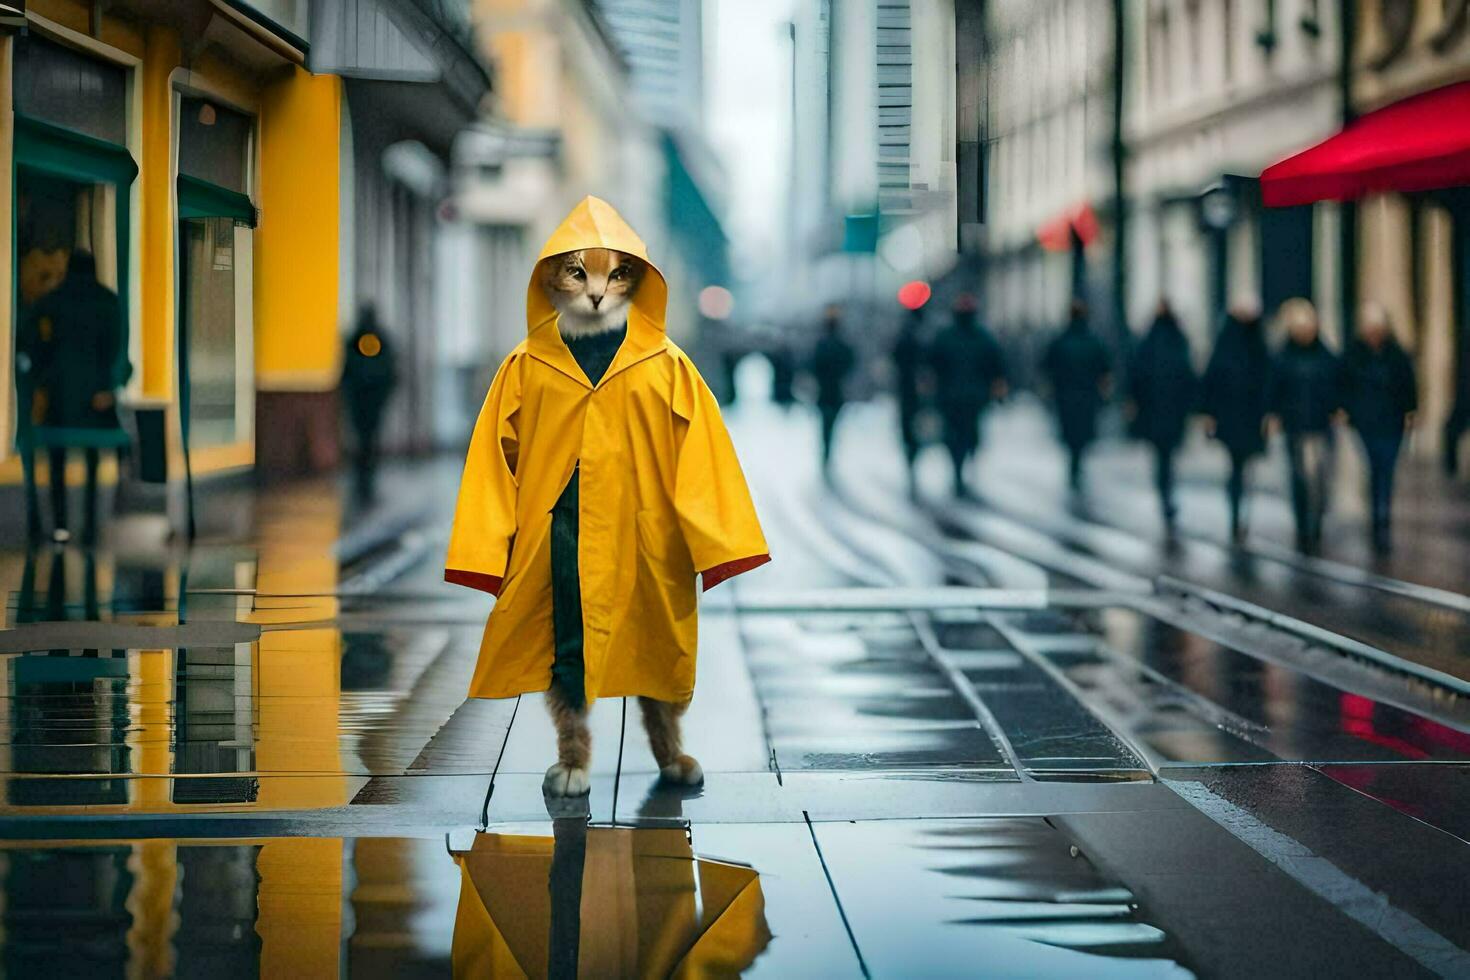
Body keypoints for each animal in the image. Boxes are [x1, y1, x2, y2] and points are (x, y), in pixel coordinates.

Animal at [538, 246, 702, 799]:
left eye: (617, 272)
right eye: (576, 270)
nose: (595, 295)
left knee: (661, 695)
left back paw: (674, 759)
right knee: (570, 691)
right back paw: (573, 766)